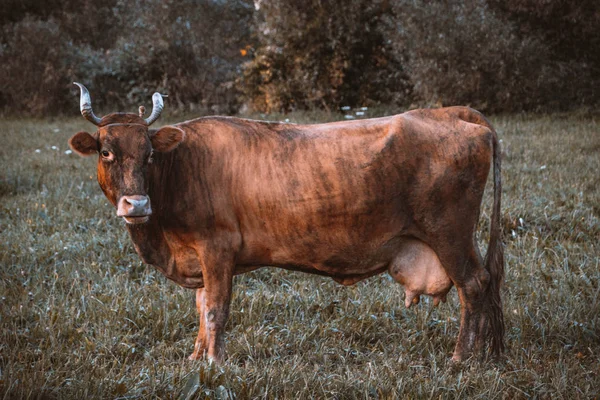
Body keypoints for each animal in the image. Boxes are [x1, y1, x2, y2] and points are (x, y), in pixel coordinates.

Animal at [68, 83, 504, 364]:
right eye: (106, 152)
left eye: (150, 154)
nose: (137, 203)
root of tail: (450, 112)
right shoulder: (200, 257)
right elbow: (201, 308)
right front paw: (194, 358)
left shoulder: (217, 249)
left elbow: (216, 310)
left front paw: (214, 365)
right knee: (485, 283)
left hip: (449, 233)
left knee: (473, 284)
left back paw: (461, 359)